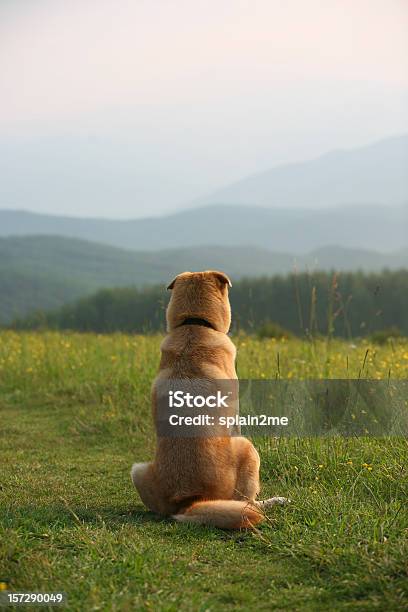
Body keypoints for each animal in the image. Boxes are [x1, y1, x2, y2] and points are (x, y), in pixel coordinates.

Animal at [131, 270, 286, 528]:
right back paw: (276, 501)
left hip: (137, 470)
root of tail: (191, 501)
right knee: (248, 503)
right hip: (248, 449)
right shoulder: (235, 418)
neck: (193, 323)